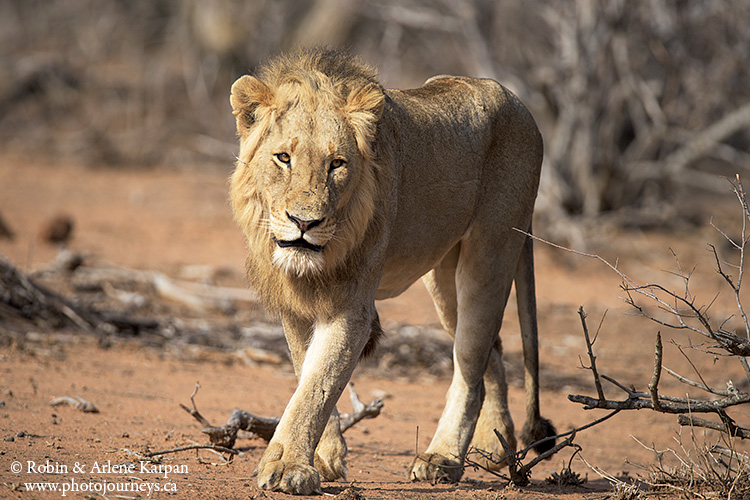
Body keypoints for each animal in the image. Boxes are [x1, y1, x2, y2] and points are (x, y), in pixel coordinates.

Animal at [232, 48, 556, 494]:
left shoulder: (351, 308)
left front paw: (288, 467)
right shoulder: (295, 304)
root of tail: (519, 103)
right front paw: (324, 457)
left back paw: (443, 458)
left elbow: (317, 385)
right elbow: (306, 374)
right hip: (444, 278)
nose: (305, 222)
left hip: (491, 251)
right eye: (284, 158)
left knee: (469, 358)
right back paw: (493, 447)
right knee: (490, 351)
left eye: (337, 164)